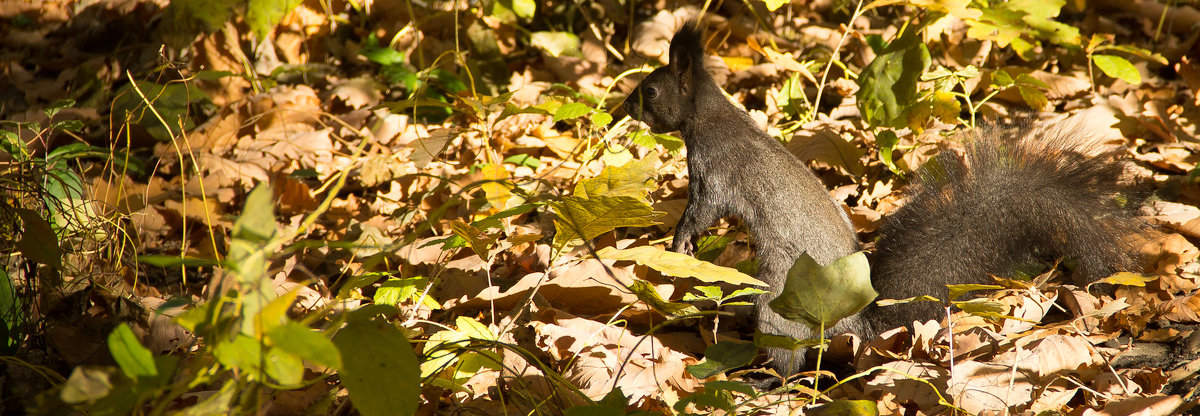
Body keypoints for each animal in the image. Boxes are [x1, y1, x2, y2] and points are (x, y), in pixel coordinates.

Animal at [619, 22, 1142, 374]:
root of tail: (858, 329)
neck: (709, 115)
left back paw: (764, 379)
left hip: (782, 303)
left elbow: (702, 209)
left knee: (791, 357)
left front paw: (679, 242)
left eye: (651, 90)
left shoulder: (715, 169)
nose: (623, 107)